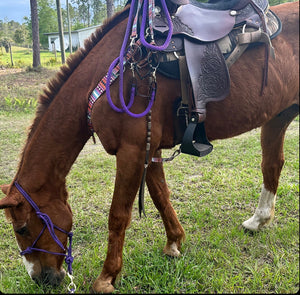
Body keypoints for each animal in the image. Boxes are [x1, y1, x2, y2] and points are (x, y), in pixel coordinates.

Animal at [0, 1, 298, 294]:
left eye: (22, 229)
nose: (40, 279)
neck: (113, 73)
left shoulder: (131, 152)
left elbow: (118, 215)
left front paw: (107, 277)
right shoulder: (148, 149)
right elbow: (160, 196)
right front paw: (174, 243)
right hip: (279, 116)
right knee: (272, 164)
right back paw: (258, 221)